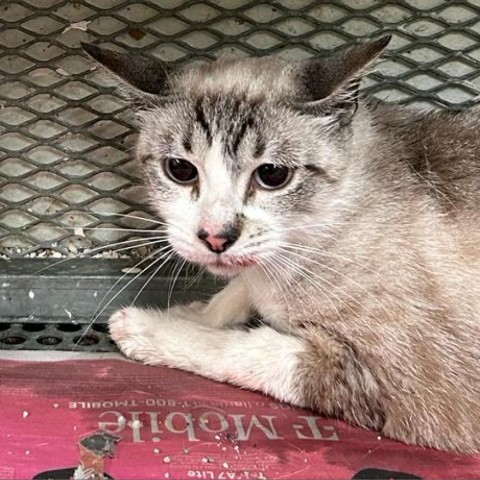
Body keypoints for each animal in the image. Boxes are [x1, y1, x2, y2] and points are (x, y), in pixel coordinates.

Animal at [83, 37, 480, 454]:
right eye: (180, 169)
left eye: (273, 174)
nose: (215, 236)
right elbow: (236, 290)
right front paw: (197, 312)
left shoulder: (408, 387)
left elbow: (243, 349)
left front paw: (148, 327)